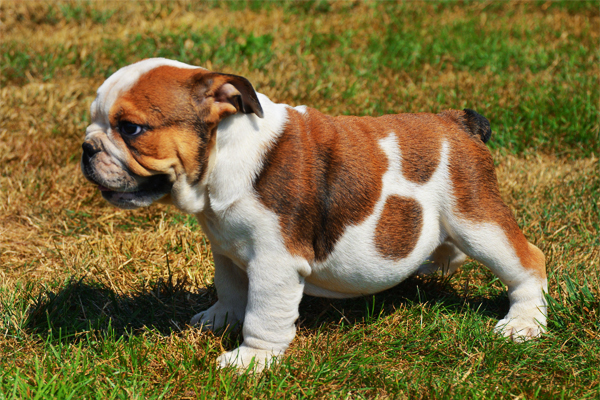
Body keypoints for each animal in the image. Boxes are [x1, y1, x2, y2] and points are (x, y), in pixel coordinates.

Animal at [83, 57, 548, 370]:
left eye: (130, 129)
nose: (86, 147)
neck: (222, 154)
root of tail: (458, 122)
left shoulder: (274, 262)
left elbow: (263, 313)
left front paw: (251, 361)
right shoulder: (226, 250)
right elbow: (231, 288)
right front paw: (218, 318)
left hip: (477, 219)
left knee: (527, 262)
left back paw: (523, 323)